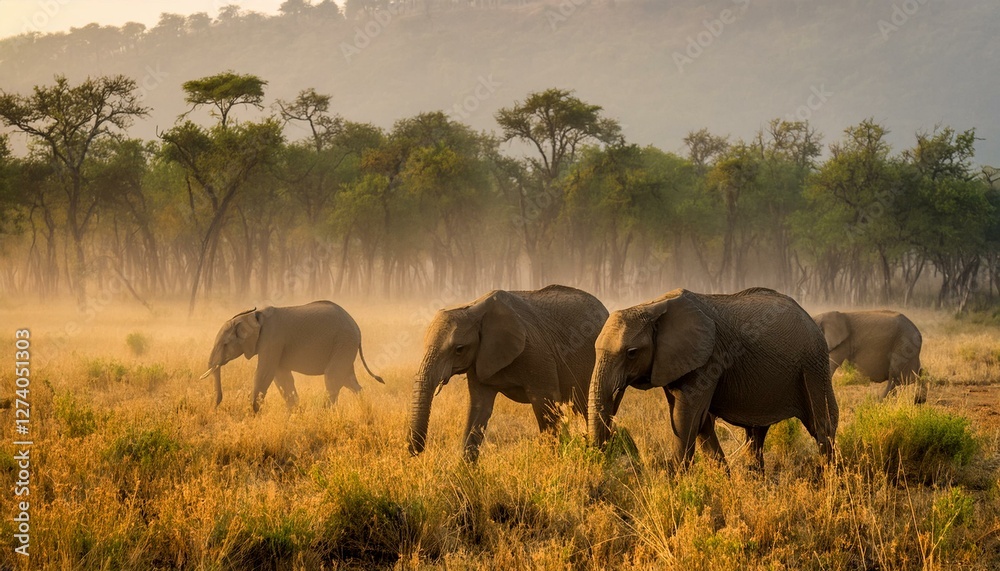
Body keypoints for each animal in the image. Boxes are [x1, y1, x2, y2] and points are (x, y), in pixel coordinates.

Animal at [199, 301, 383, 412]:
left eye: (225, 344)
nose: (214, 407)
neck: (253, 316)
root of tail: (357, 328)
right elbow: (281, 376)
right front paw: (293, 411)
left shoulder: (272, 340)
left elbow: (265, 373)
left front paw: (252, 411)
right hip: (345, 346)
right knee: (347, 380)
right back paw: (365, 410)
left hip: (343, 342)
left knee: (333, 378)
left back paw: (323, 414)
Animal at [408, 284, 609, 462]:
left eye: (459, 349)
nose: (415, 451)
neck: (474, 308)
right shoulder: (479, 360)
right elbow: (479, 408)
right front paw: (464, 474)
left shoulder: (537, 355)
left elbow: (546, 408)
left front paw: (552, 463)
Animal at [589, 287, 838, 472]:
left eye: (631, 353)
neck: (653, 305)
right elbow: (700, 421)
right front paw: (722, 480)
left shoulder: (708, 358)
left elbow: (687, 419)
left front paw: (675, 484)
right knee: (757, 434)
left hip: (813, 366)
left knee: (822, 426)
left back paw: (828, 479)